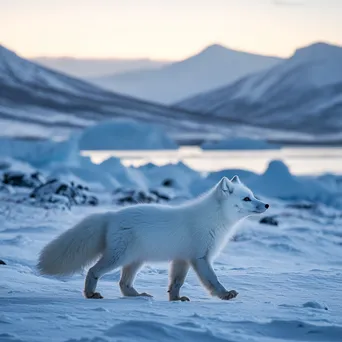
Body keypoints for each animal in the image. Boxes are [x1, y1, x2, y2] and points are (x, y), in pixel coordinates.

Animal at [38, 178, 270, 300]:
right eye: (246, 198)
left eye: (253, 195)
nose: (266, 205)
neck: (215, 220)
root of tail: (111, 215)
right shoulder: (200, 258)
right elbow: (213, 280)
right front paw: (225, 294)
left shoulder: (182, 259)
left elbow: (176, 282)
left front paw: (176, 299)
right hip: (119, 257)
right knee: (93, 271)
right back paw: (90, 294)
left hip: (135, 261)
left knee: (123, 283)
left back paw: (137, 296)